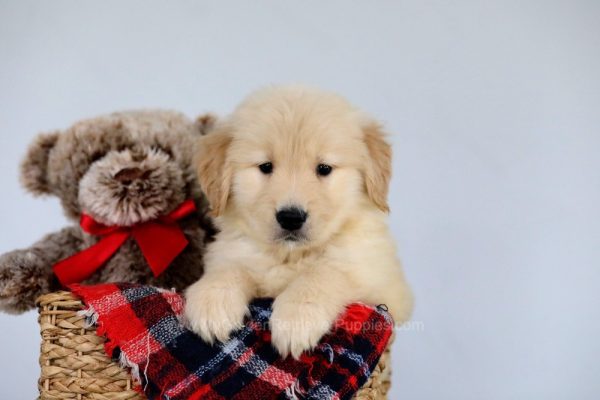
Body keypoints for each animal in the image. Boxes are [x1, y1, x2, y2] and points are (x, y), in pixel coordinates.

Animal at [186, 86, 412, 358]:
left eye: (324, 168)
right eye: (266, 166)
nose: (291, 217)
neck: (290, 256)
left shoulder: (375, 274)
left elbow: (326, 271)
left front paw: (296, 319)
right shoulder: (234, 251)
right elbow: (229, 268)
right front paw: (212, 302)